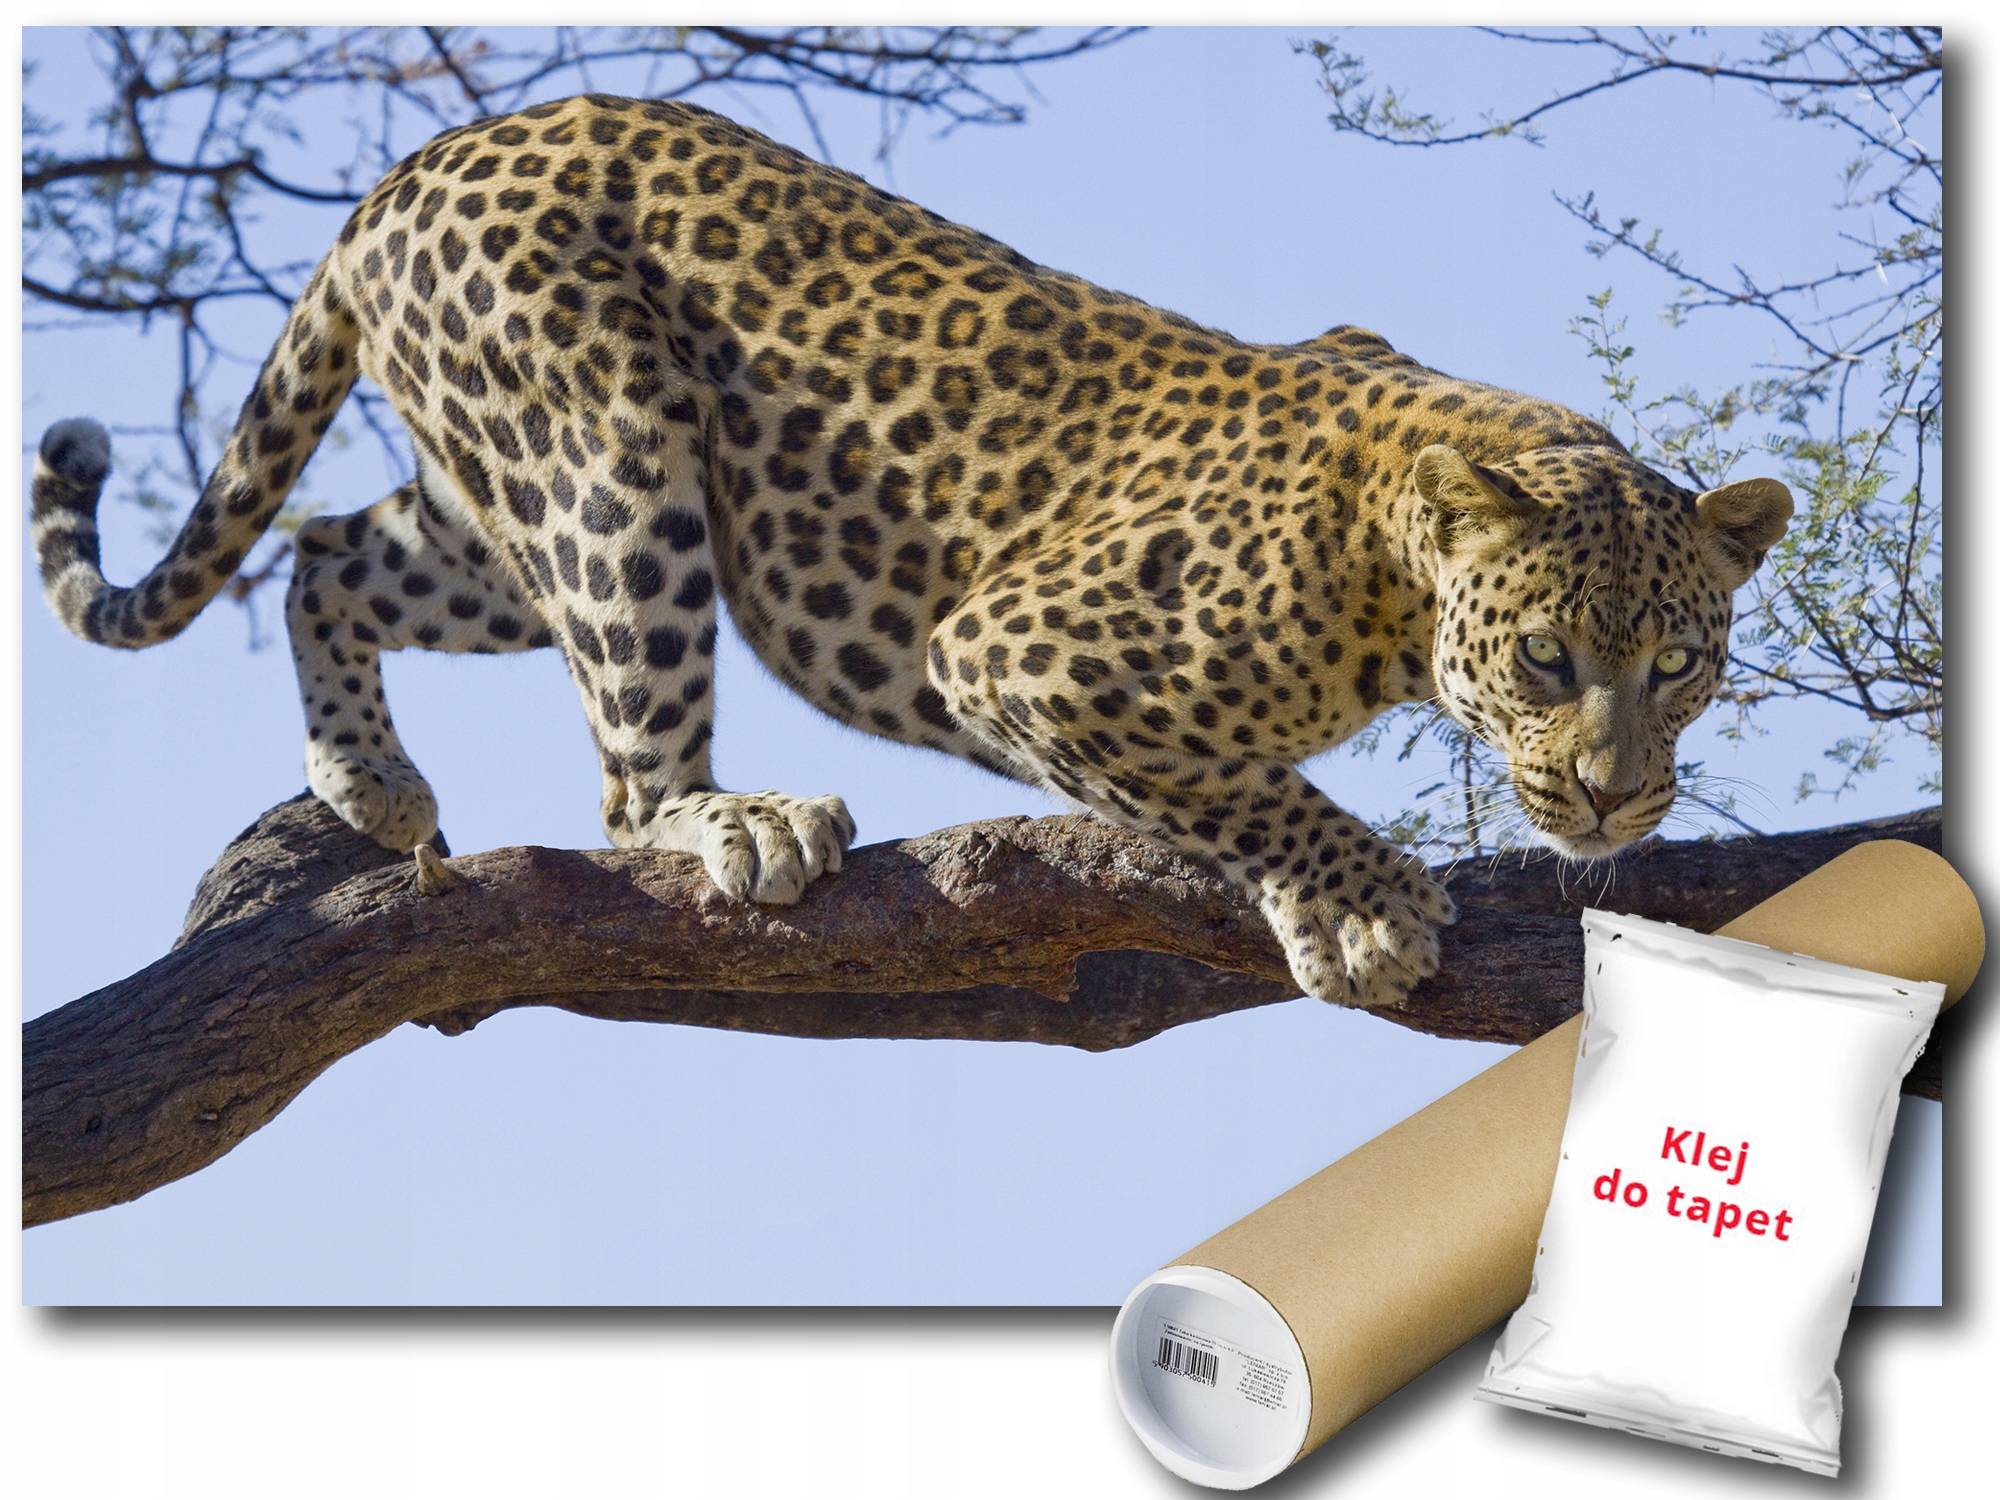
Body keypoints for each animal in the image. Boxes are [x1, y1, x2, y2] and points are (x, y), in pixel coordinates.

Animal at [31, 93, 1791, 1009]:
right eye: (1546, 657)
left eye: (1682, 664)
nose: (1613, 799)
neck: (1391, 575)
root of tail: (416, 161)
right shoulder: (1018, 651)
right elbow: (1244, 785)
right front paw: (1355, 907)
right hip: (614, 460)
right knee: (625, 784)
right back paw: (740, 822)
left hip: (501, 505)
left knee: (328, 550)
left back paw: (370, 783)